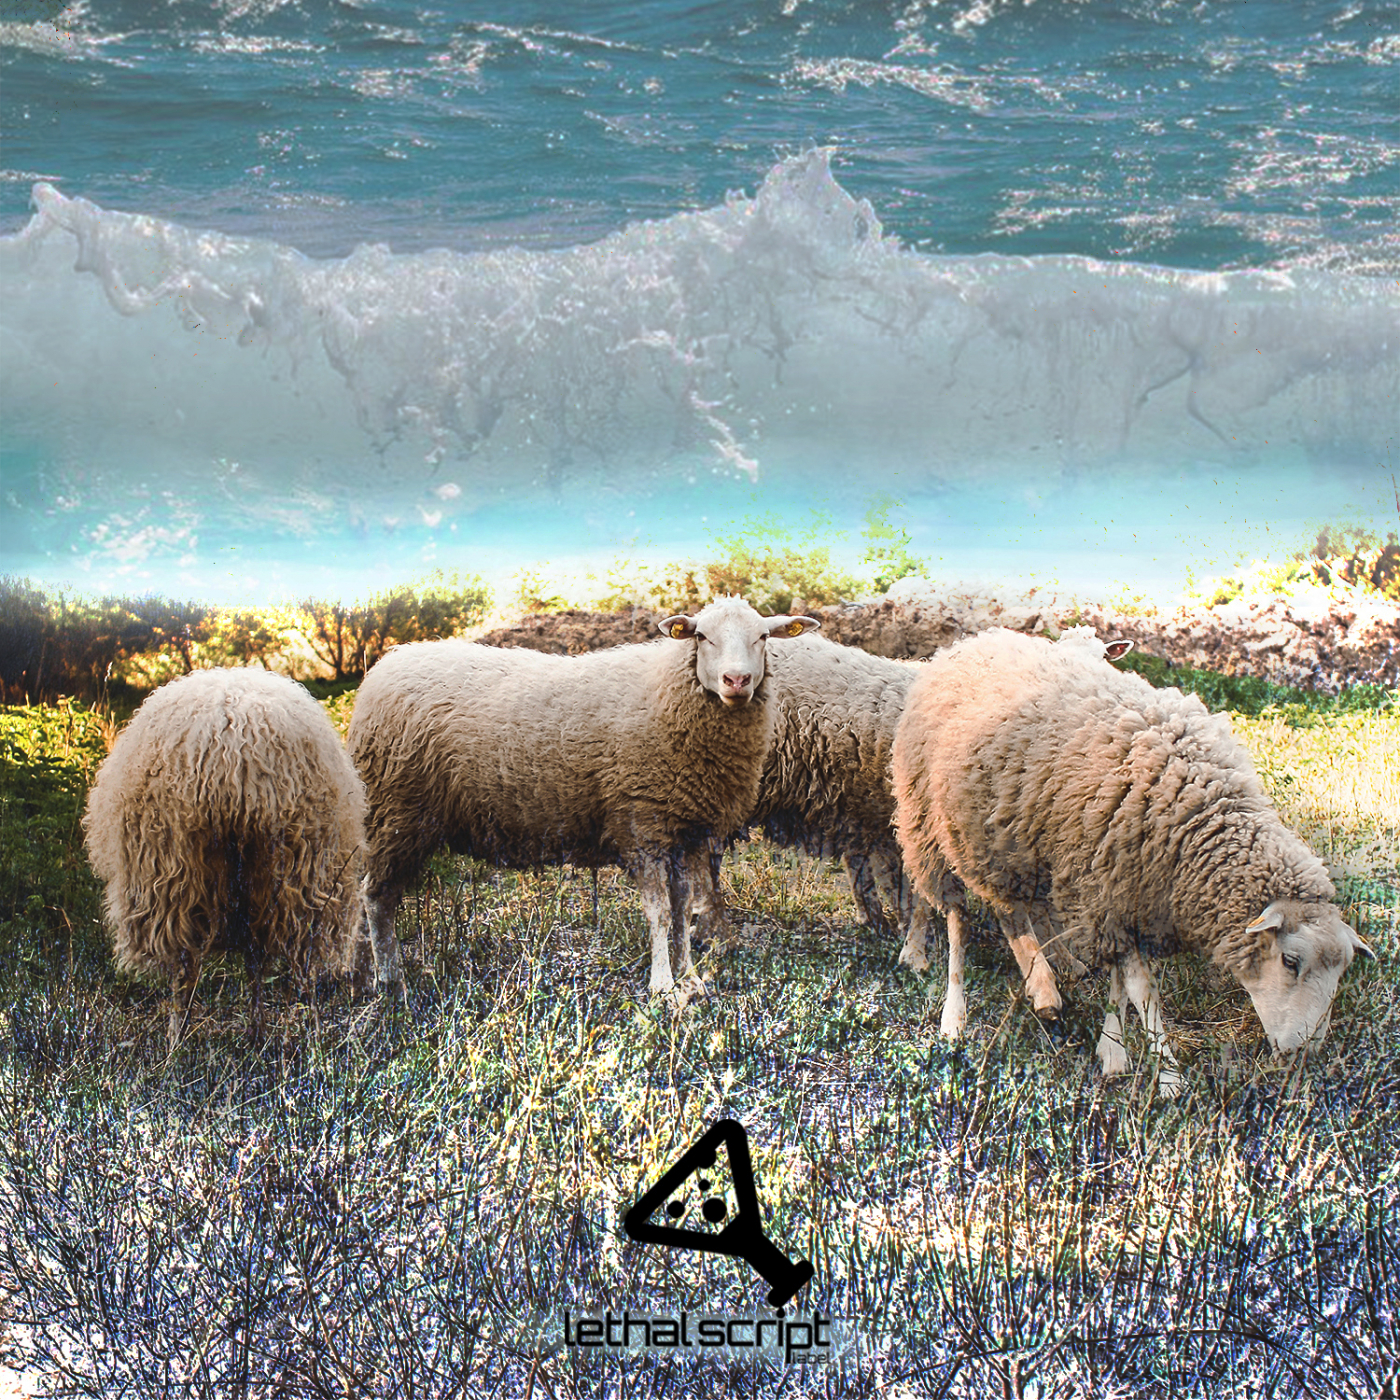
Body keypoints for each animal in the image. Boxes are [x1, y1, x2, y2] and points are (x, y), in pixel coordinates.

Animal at [82, 667, 368, 1045]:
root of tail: (233, 753)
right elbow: (255, 958)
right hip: (288, 865)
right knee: (284, 956)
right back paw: (297, 1035)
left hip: (178, 871)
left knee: (187, 966)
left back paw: (178, 1042)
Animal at [346, 596, 819, 999]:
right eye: (702, 637)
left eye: (763, 637)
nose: (736, 680)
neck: (670, 694)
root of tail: (388, 663)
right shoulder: (642, 824)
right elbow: (660, 912)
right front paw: (663, 986)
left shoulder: (687, 833)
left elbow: (684, 911)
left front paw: (690, 979)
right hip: (397, 811)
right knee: (376, 897)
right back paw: (389, 980)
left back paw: (360, 974)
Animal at [891, 626, 1373, 1094]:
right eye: (1290, 961)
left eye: (1343, 971)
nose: (1303, 1053)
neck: (1199, 812)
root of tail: (967, 643)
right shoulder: (1106, 883)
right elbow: (1143, 990)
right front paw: (1168, 1073)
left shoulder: (1124, 889)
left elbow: (1121, 983)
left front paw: (1112, 1047)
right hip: (934, 822)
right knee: (959, 917)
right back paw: (961, 1012)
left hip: (1011, 838)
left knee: (1014, 909)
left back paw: (1047, 977)